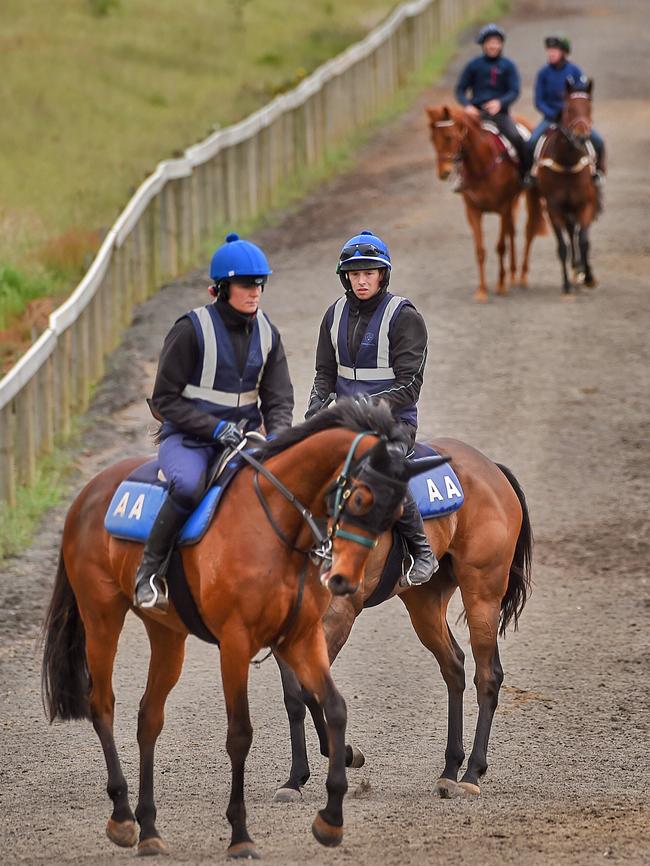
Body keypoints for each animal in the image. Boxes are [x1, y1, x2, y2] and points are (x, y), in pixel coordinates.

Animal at [41, 402, 440, 860]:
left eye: (397, 513)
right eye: (360, 497)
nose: (343, 580)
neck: (277, 528)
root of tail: (87, 493)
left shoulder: (301, 637)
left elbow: (334, 706)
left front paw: (330, 817)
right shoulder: (235, 644)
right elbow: (240, 734)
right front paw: (240, 834)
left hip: (167, 634)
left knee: (149, 717)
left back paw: (149, 828)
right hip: (101, 615)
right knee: (102, 704)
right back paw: (123, 816)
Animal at [270, 438, 528, 804]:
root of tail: (491, 467)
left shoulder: (339, 617)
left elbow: (311, 691)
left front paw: (345, 754)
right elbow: (294, 697)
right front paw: (295, 779)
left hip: (483, 592)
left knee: (488, 675)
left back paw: (471, 774)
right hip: (424, 602)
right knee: (454, 666)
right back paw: (450, 770)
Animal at [422, 104, 544, 302]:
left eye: (449, 137)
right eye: (432, 139)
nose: (443, 173)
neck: (481, 165)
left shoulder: (503, 208)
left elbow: (500, 247)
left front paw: (500, 285)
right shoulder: (473, 211)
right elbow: (480, 250)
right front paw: (481, 290)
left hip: (523, 199)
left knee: (527, 232)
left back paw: (521, 276)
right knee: (512, 232)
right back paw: (512, 273)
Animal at [532, 78, 596, 294]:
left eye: (589, 108)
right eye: (569, 108)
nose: (581, 137)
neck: (567, 163)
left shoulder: (585, 205)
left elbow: (584, 241)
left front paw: (588, 276)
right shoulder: (554, 209)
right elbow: (562, 247)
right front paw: (567, 284)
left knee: (576, 235)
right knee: (569, 234)